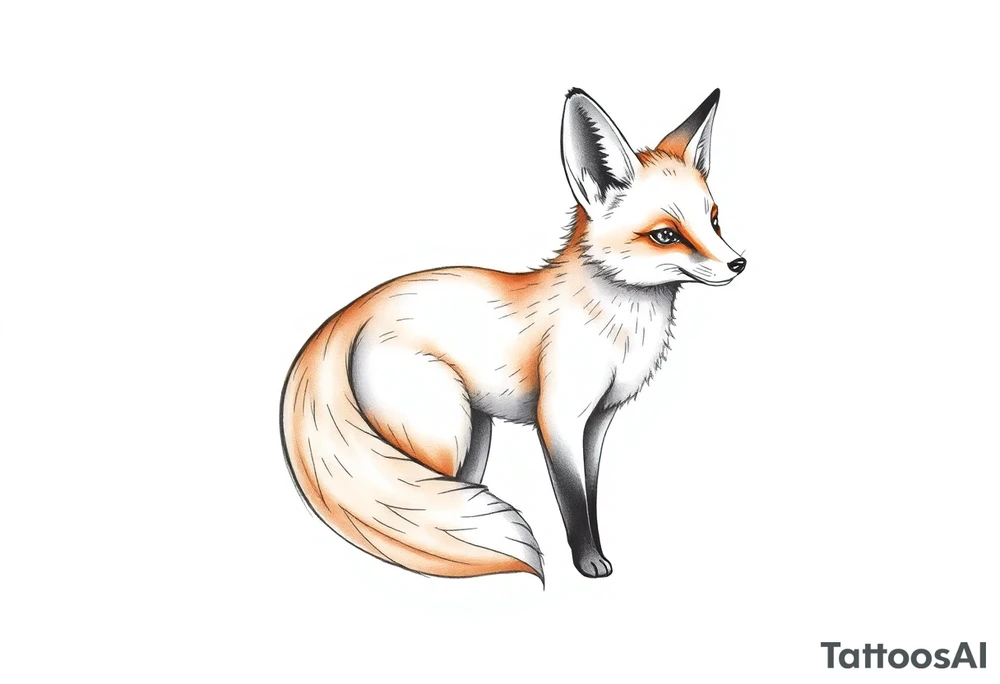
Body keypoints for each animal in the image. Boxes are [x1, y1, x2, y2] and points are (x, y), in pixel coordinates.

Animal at [280, 87, 745, 582]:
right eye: (665, 235)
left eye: (714, 222)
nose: (738, 263)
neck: (619, 328)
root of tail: (351, 311)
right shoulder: (557, 418)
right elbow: (573, 501)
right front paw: (587, 561)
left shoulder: (597, 422)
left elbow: (591, 495)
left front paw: (598, 552)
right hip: (444, 437)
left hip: (475, 437)